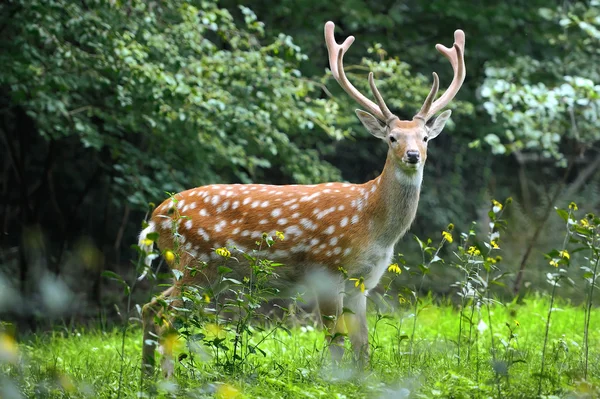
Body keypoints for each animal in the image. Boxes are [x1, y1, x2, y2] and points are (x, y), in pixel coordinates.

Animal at [139, 21, 464, 378]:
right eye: (392, 137)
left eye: (425, 137)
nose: (412, 155)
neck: (370, 222)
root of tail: (156, 217)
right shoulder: (327, 267)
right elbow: (335, 340)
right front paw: (334, 380)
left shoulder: (363, 280)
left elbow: (362, 343)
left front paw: (363, 380)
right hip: (195, 261)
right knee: (166, 316)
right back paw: (165, 380)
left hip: (201, 271)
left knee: (150, 307)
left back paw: (146, 378)